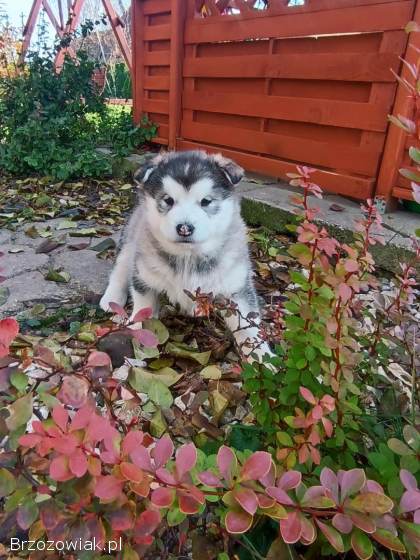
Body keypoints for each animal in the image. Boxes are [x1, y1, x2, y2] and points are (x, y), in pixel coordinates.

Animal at [101, 150, 270, 358]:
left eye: (206, 201)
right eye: (168, 200)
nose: (184, 228)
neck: (188, 257)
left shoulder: (236, 288)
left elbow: (249, 327)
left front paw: (263, 357)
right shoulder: (144, 278)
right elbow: (143, 308)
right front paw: (138, 332)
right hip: (130, 243)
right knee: (120, 270)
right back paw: (112, 299)